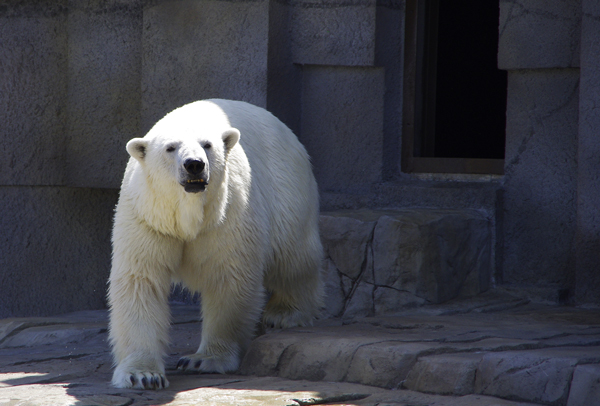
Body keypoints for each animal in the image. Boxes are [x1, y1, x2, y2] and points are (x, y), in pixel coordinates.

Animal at [108, 99, 324, 390]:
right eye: (170, 147)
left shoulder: (228, 215)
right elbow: (141, 282)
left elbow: (228, 278)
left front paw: (203, 359)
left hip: (287, 188)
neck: (187, 215)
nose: (194, 164)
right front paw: (142, 374)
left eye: (207, 145)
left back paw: (285, 313)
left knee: (293, 256)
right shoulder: (148, 219)